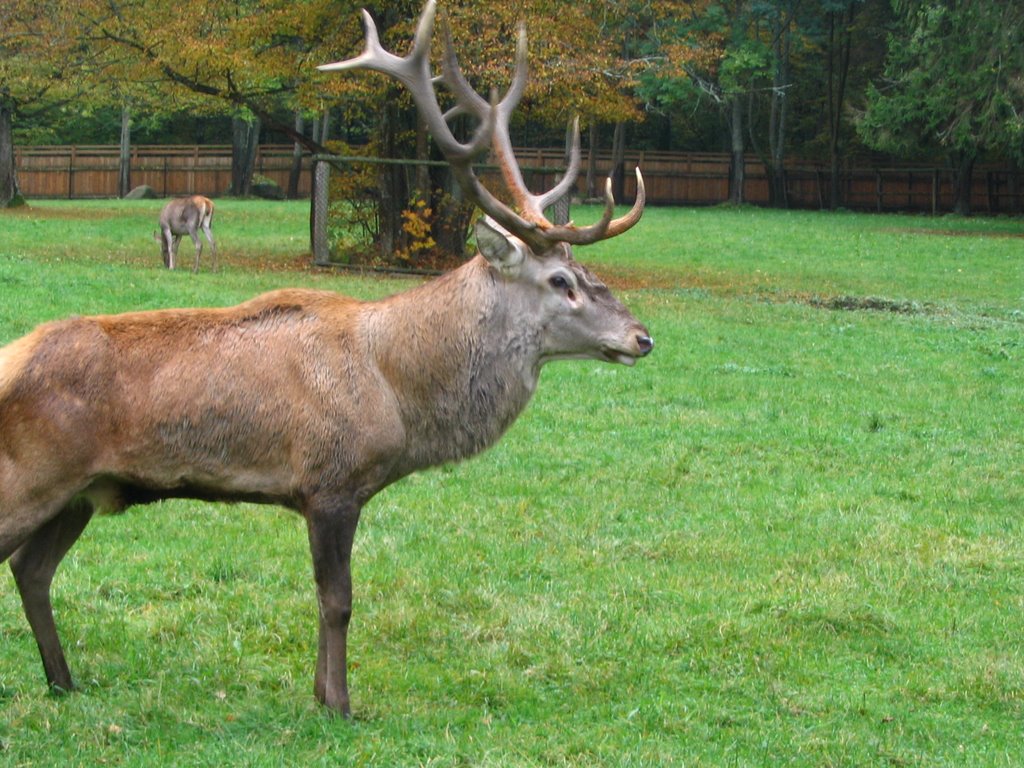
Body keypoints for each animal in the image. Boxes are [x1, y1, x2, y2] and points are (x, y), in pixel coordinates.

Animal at [0, 1, 651, 720]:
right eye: (561, 281)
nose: (641, 336)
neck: (399, 396)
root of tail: (11, 357)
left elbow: (328, 599)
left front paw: (323, 693)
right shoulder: (330, 481)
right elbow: (338, 601)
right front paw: (338, 702)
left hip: (80, 491)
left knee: (31, 568)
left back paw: (63, 679)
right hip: (31, 472)